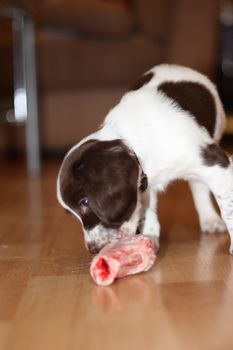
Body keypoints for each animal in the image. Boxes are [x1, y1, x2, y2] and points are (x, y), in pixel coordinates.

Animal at [57, 64, 233, 254]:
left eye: (85, 202)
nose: (93, 249)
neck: (130, 139)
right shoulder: (144, 182)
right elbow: (146, 211)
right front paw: (149, 237)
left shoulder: (216, 164)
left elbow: (228, 208)